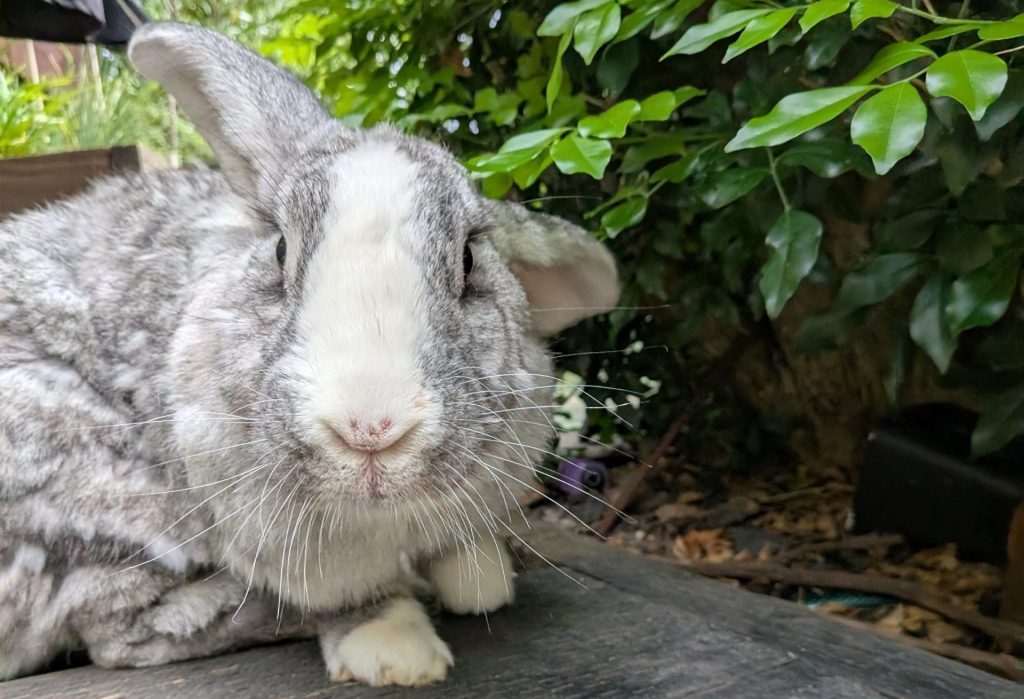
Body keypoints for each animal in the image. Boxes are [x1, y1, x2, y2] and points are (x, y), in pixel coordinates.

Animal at [0, 21, 619, 686]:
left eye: (470, 259)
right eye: (279, 251)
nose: (370, 428)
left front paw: (480, 576)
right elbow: (344, 593)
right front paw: (397, 652)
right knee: (129, 632)